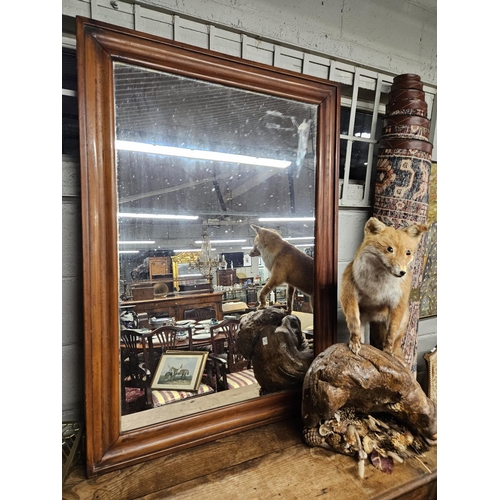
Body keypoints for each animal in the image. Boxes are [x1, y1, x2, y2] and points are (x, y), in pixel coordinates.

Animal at [340, 217, 430, 358]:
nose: (402, 272)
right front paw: (354, 343)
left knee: (396, 342)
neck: (378, 285)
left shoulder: (397, 303)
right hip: (365, 320)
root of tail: (374, 317)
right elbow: (354, 323)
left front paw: (387, 350)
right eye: (390, 249)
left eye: (408, 253)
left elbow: (391, 333)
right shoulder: (349, 295)